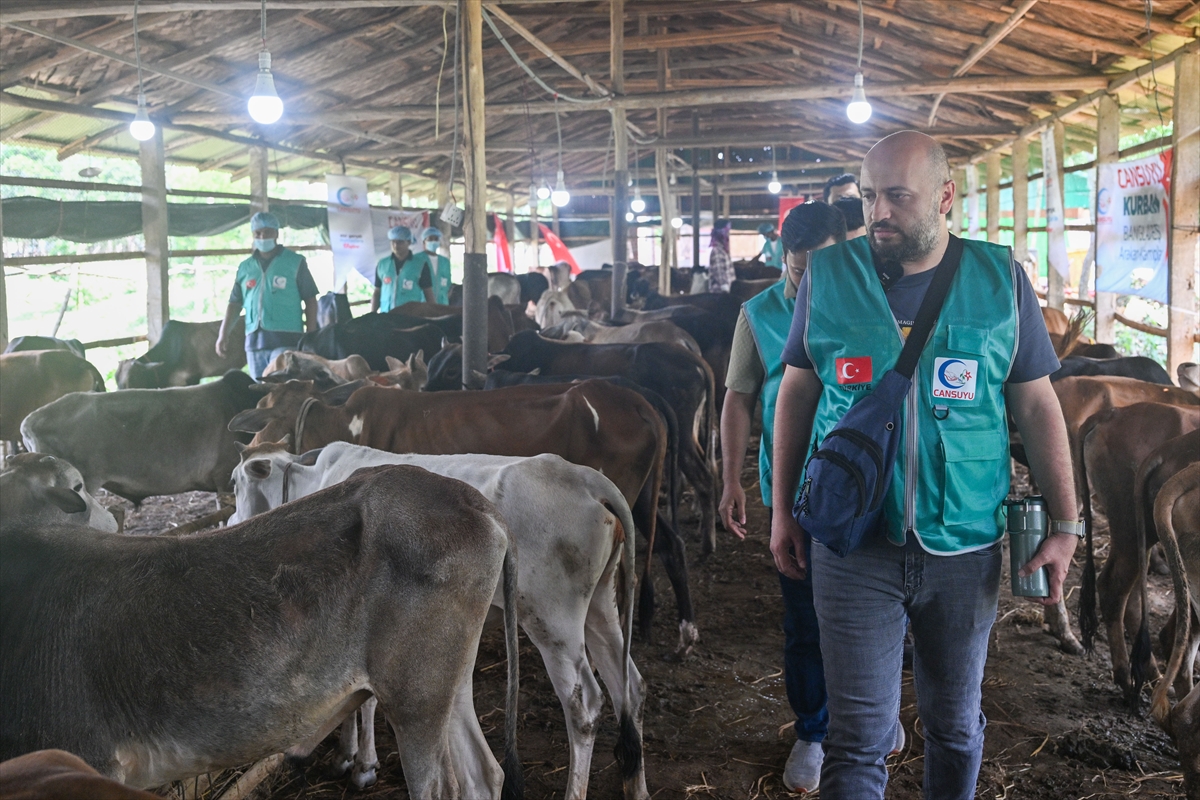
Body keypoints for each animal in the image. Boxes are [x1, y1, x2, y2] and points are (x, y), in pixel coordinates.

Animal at [0, 465, 521, 799]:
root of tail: (478, 504)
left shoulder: (84, 756)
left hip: (417, 698)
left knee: (441, 786)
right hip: (450, 686)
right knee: (482, 776)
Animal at [228, 379, 699, 655]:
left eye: (267, 410)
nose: (248, 448)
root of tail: (639, 400)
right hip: (640, 501)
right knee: (670, 546)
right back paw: (682, 631)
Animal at [232, 443, 649, 800]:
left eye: (235, 482)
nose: (231, 518)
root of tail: (584, 477)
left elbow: (365, 702)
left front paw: (362, 764)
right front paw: (346, 757)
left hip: (553, 620)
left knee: (584, 705)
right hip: (600, 606)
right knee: (629, 684)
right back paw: (636, 787)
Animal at [1074, 404, 1200, 701]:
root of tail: (1112, 413)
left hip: (1139, 538)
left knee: (1130, 599)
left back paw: (1150, 676)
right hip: (1130, 532)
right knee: (1114, 589)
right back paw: (1127, 680)